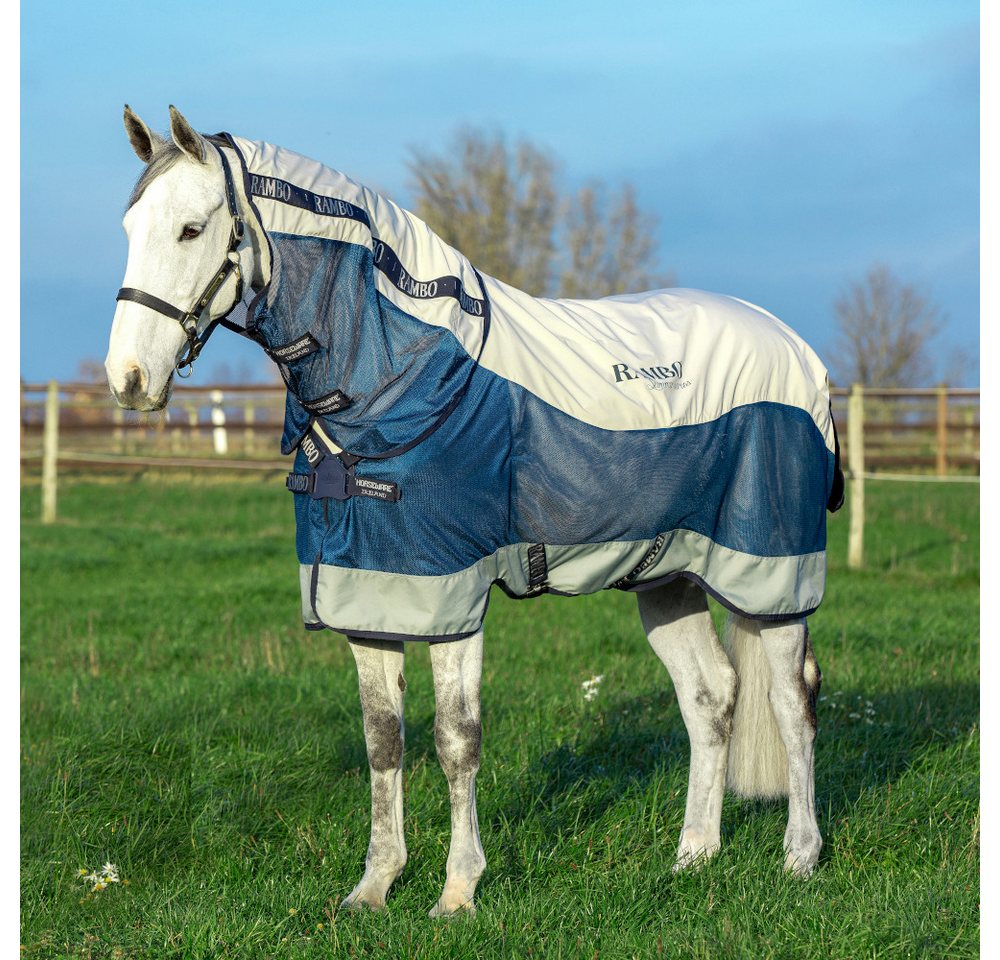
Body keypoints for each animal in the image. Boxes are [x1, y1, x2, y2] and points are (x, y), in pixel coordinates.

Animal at [106, 106, 842, 916]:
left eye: (191, 229)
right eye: (130, 225)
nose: (128, 380)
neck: (401, 379)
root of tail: (798, 352)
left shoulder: (451, 597)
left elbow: (456, 740)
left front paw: (457, 891)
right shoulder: (370, 596)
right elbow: (383, 741)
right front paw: (375, 885)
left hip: (770, 573)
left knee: (791, 700)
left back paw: (800, 857)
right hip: (666, 576)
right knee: (710, 699)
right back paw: (693, 857)